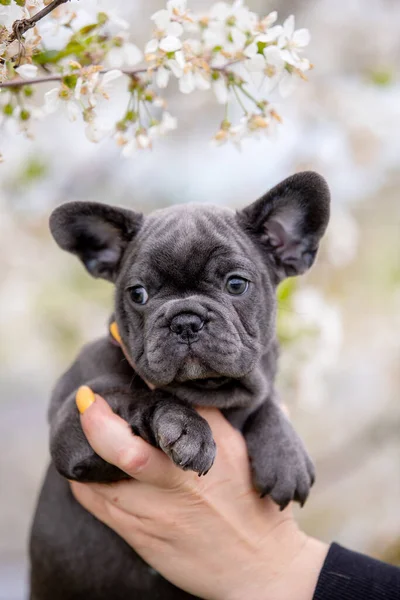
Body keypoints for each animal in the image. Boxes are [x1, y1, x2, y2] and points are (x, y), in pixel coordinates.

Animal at [29, 170, 332, 600]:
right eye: (138, 294)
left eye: (236, 284)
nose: (185, 320)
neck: (210, 392)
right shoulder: (74, 423)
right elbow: (136, 393)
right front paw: (186, 427)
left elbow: (265, 398)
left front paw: (286, 453)